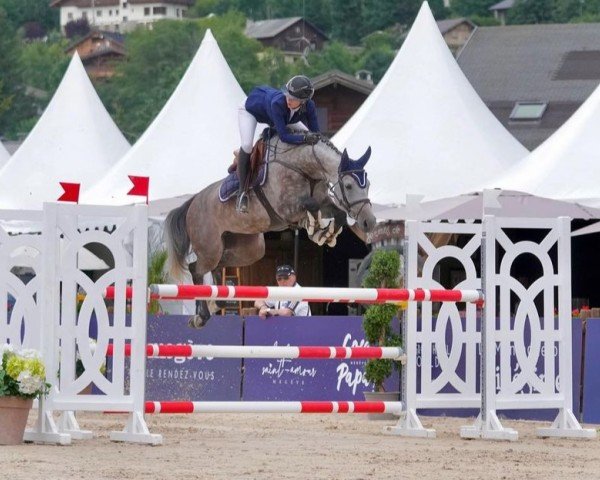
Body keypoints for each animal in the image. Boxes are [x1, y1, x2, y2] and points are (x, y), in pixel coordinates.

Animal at [164, 133, 376, 326]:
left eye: (368, 185)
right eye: (348, 186)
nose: (370, 222)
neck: (305, 168)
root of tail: (193, 201)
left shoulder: (325, 202)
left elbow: (337, 213)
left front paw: (326, 233)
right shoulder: (287, 209)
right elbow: (311, 205)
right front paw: (313, 227)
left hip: (248, 249)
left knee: (217, 266)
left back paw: (217, 302)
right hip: (210, 247)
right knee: (196, 268)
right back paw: (201, 316)